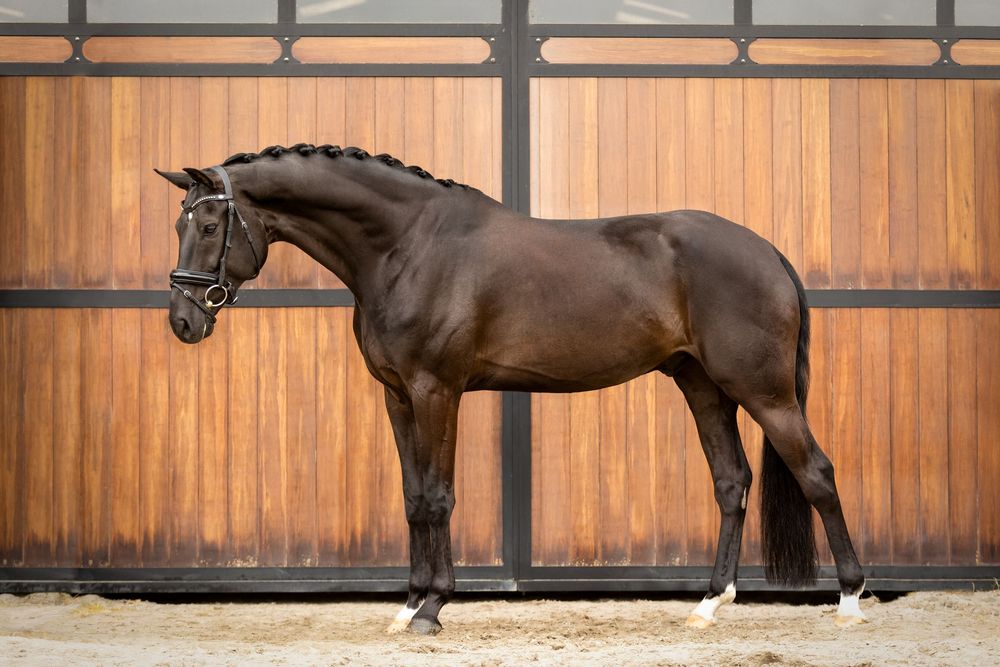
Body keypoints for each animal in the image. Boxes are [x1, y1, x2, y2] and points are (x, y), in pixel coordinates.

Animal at [156, 143, 867, 635]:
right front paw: (407, 606)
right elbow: (412, 499)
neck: (406, 247)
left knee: (817, 473)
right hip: (704, 386)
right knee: (731, 482)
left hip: (764, 391)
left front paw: (432, 609)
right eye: (179, 226)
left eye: (211, 227)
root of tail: (766, 252)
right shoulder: (397, 395)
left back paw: (851, 599)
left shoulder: (436, 390)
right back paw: (710, 605)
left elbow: (438, 497)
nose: (183, 322)